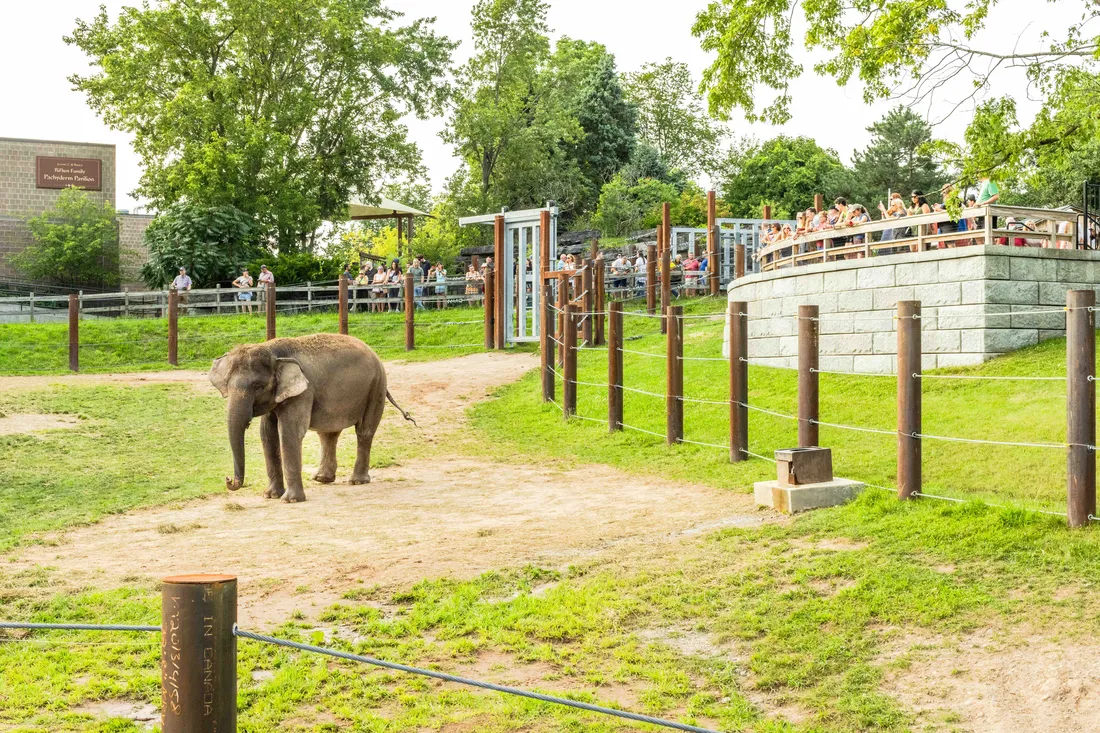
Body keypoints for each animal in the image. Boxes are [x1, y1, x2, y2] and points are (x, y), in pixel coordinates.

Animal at [207, 332, 413, 499]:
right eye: (227, 384)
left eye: (257, 386)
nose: (228, 480)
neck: (273, 350)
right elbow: (267, 434)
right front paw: (270, 496)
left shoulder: (303, 392)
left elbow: (289, 432)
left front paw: (290, 500)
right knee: (329, 434)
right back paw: (322, 479)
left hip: (376, 387)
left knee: (364, 432)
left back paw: (357, 481)